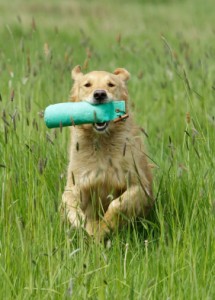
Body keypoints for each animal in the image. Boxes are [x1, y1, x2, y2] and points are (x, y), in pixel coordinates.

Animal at [61, 65, 154, 239]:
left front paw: (102, 227)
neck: (101, 142)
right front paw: (85, 225)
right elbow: (71, 204)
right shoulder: (76, 183)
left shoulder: (139, 185)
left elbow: (117, 204)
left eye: (111, 84)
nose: (99, 94)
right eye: (87, 84)